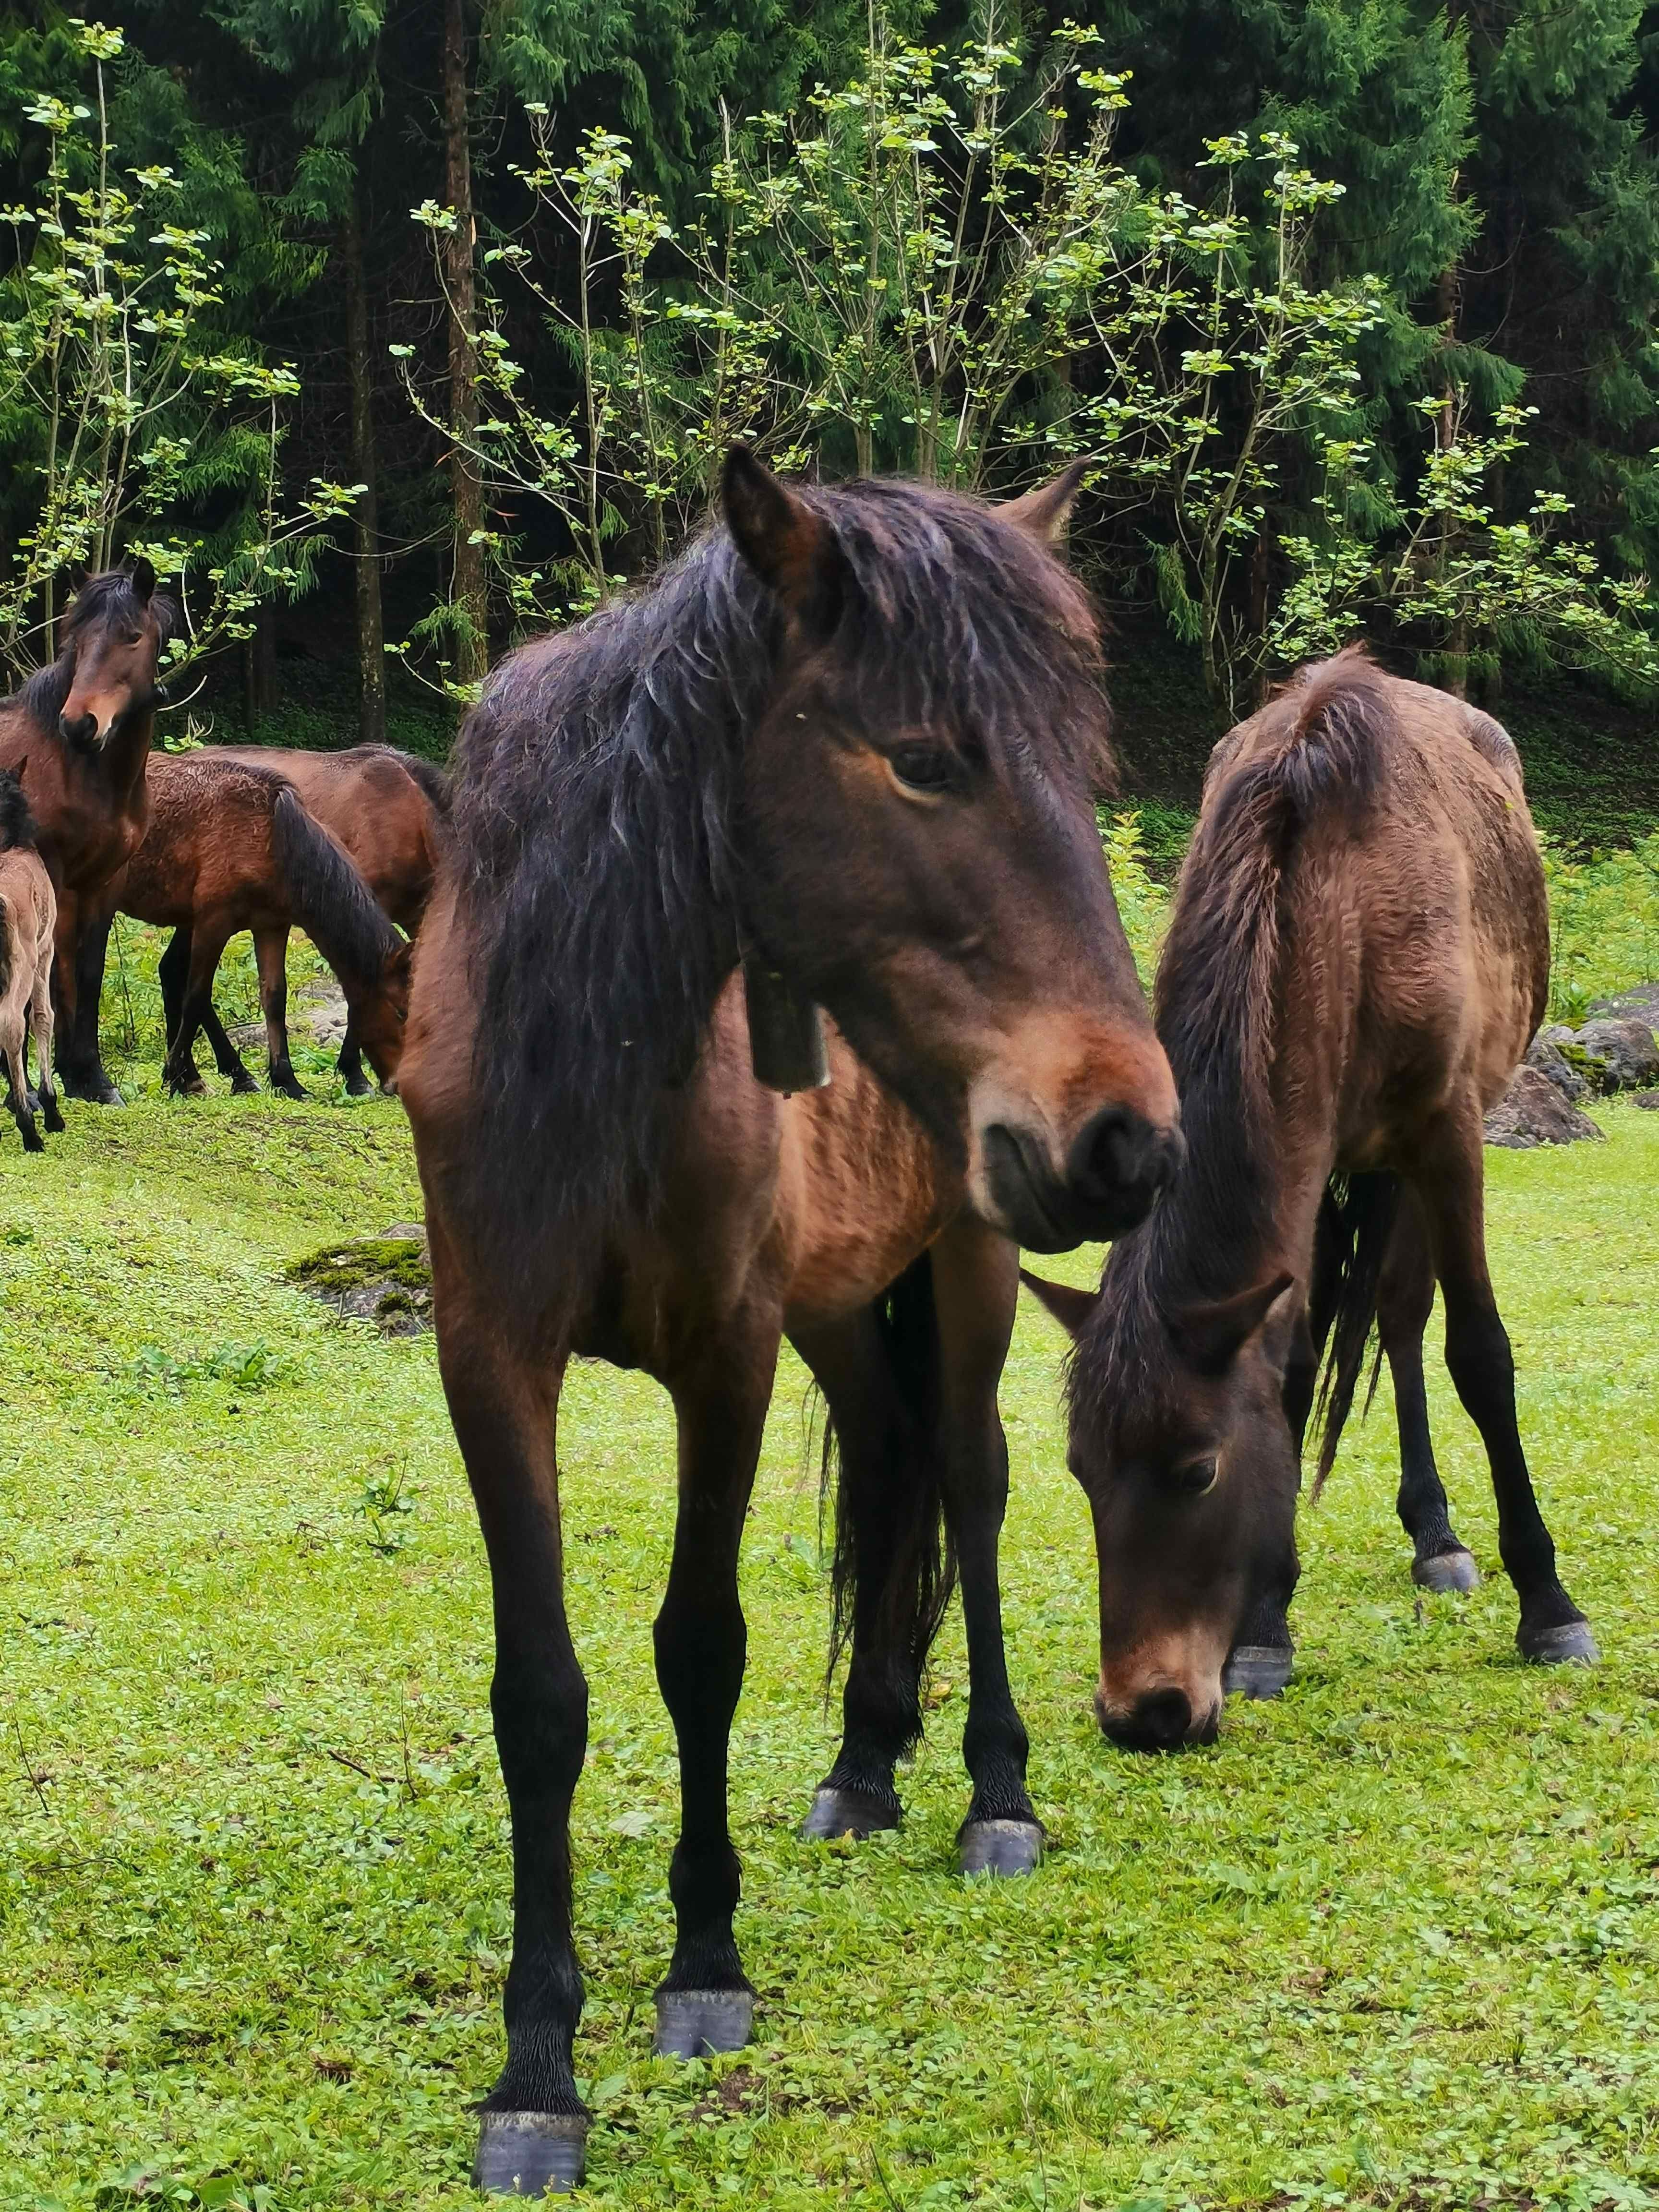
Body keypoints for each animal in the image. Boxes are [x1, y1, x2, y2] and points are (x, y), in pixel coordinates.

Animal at [97, 756, 413, 1101]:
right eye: (400, 1011)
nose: (400, 1084)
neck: (272, 834)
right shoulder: (212, 921)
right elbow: (196, 997)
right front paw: (175, 1072)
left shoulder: (271, 926)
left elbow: (274, 999)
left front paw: (286, 1079)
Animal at [400, 449, 1185, 2194]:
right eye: (924, 760)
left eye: (1078, 769)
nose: (1130, 1138)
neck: (598, 1041)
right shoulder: (492, 1351)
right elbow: (537, 1696)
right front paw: (535, 2067)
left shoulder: (725, 1352)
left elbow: (701, 1646)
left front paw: (704, 1964)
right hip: (841, 1303)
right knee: (892, 1470)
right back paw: (863, 1763)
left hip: (965, 1265)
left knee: (966, 1483)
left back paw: (989, 1796)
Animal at [1026, 646, 1601, 1752]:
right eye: (1079, 1471)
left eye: (1198, 1470)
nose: (1142, 1711)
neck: (1342, 906)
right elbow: (1289, 1377)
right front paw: (1264, 1631)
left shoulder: (1449, 1135)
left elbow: (1481, 1355)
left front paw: (1550, 1607)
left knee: (1409, 1316)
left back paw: (1440, 1536)